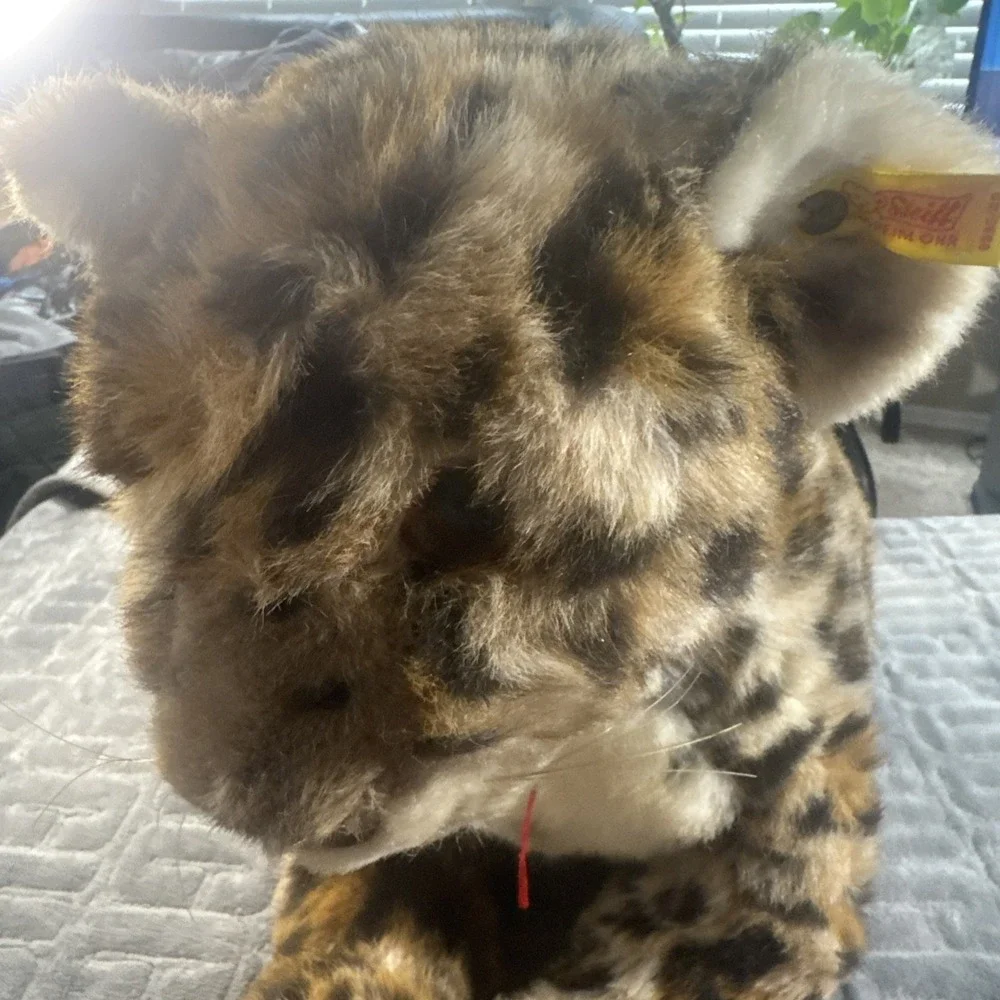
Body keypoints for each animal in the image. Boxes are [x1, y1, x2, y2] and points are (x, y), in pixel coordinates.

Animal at [3, 22, 996, 1000]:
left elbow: (702, 947)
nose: (232, 802)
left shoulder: (807, 789)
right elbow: (350, 922)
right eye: (147, 491)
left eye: (464, 512)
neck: (571, 758)